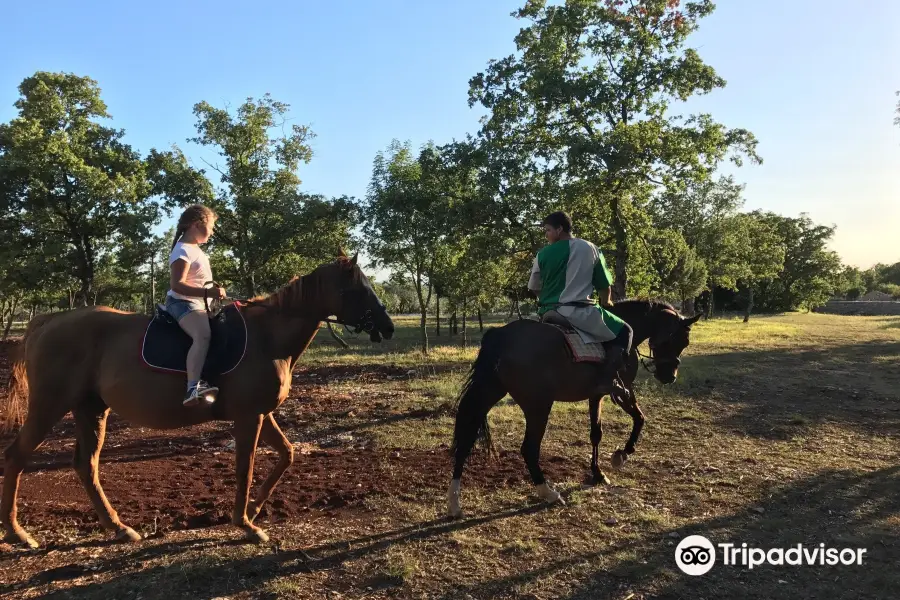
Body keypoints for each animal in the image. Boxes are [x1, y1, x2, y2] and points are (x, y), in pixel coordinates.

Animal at [1, 254, 394, 548]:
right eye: (359, 288)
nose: (388, 327)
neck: (267, 338)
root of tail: (49, 321)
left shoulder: (261, 413)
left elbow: (286, 454)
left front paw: (255, 509)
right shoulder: (248, 416)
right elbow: (245, 466)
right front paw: (245, 524)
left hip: (91, 409)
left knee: (86, 465)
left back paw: (119, 528)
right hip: (49, 405)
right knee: (17, 456)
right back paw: (18, 534)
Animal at [446, 302, 700, 516]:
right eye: (678, 340)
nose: (669, 376)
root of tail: (502, 335)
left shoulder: (596, 395)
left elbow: (596, 433)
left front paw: (598, 472)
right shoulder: (622, 391)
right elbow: (639, 418)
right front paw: (622, 454)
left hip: (488, 394)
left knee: (465, 441)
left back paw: (454, 503)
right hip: (538, 406)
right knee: (528, 448)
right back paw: (548, 493)